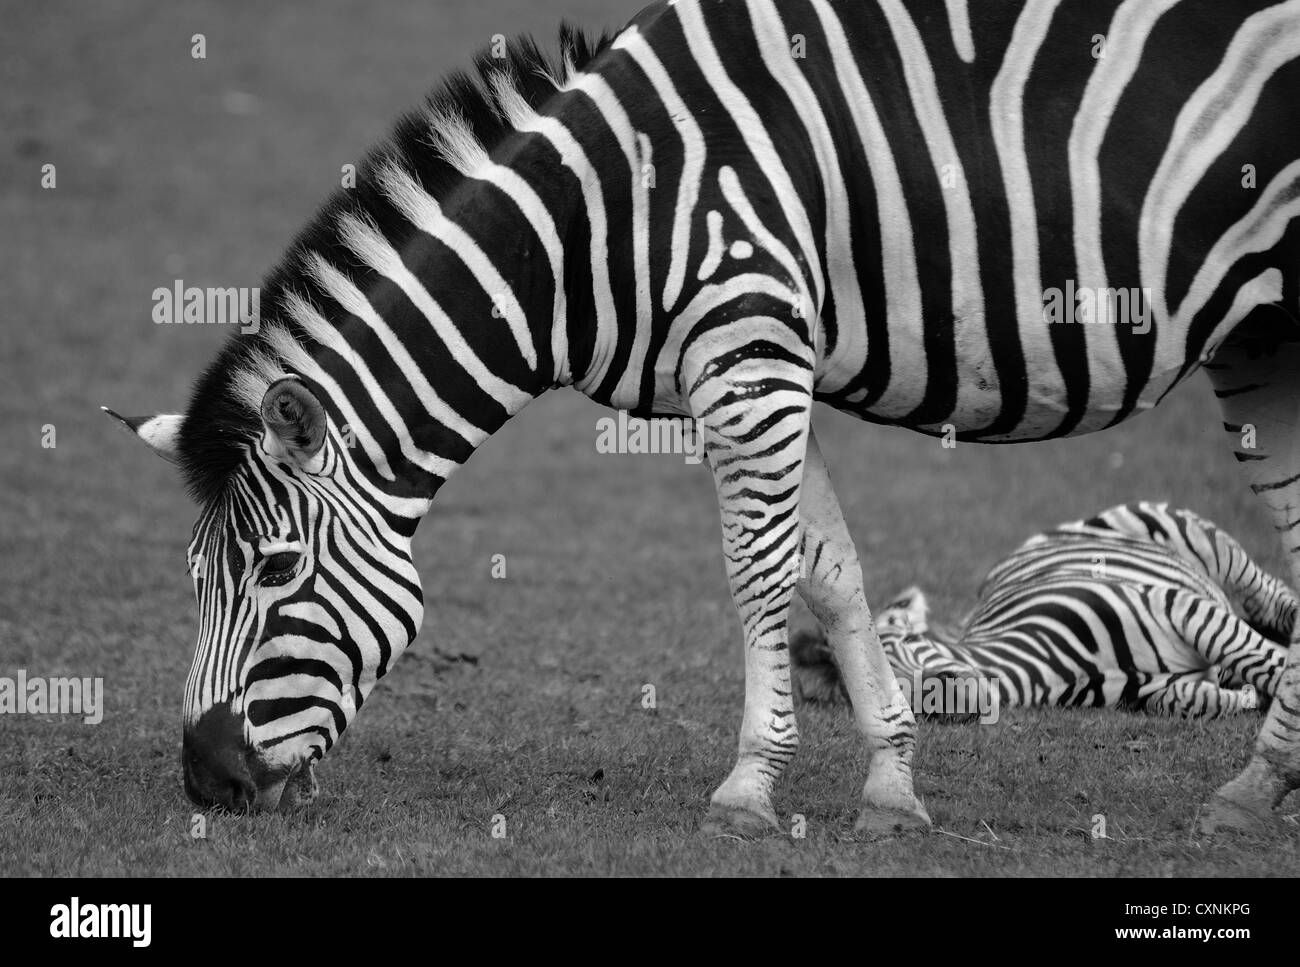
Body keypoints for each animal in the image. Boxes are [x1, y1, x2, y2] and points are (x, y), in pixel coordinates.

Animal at [790, 506, 1300, 717]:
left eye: (912, 642)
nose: (948, 689)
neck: (1044, 672)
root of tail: (1038, 539)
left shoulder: (1176, 608)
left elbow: (1263, 660)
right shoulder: (1149, 689)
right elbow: (1187, 699)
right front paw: (1245, 698)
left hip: (1193, 538)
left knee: (1265, 593)